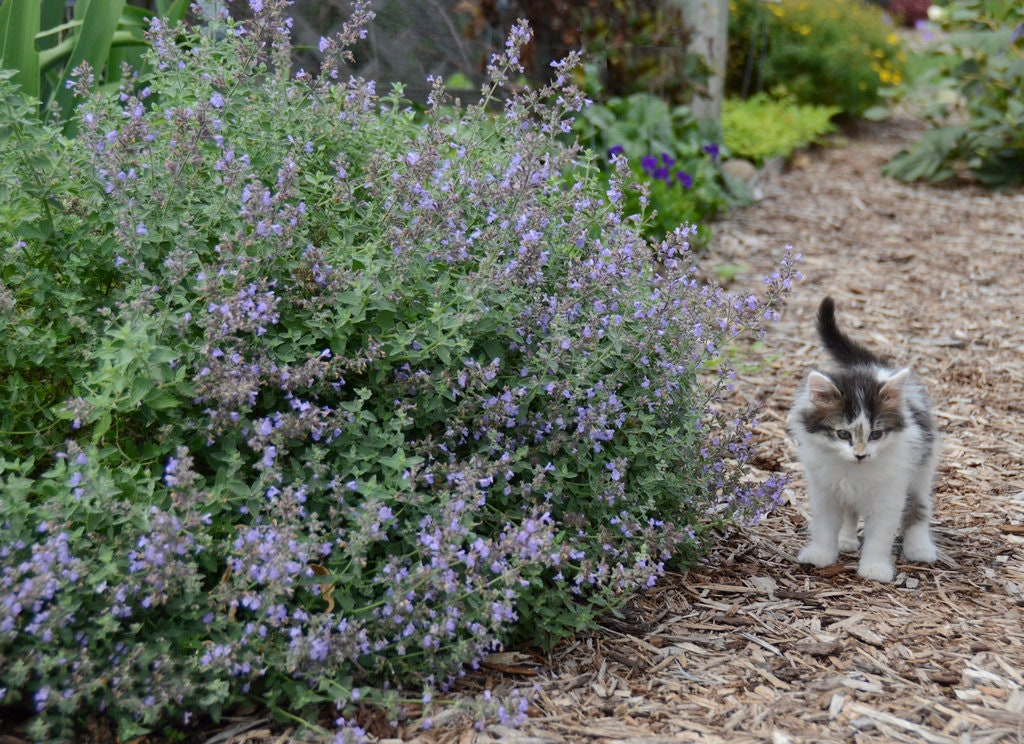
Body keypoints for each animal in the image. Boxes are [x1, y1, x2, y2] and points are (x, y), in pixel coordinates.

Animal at [786, 296, 937, 581]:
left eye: (876, 434)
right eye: (843, 433)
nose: (860, 455)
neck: (853, 471)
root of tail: (876, 368)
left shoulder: (889, 496)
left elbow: (879, 537)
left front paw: (875, 568)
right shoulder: (825, 491)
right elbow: (824, 526)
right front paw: (822, 554)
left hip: (922, 469)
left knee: (918, 507)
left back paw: (919, 547)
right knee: (850, 511)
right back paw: (846, 539)